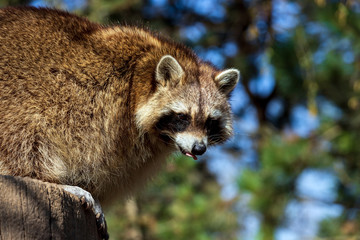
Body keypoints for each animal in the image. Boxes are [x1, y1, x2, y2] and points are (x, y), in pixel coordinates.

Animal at [0, 6, 239, 203]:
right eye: (182, 117)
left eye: (210, 121)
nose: (200, 148)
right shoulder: (93, 108)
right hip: (19, 95)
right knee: (24, 136)